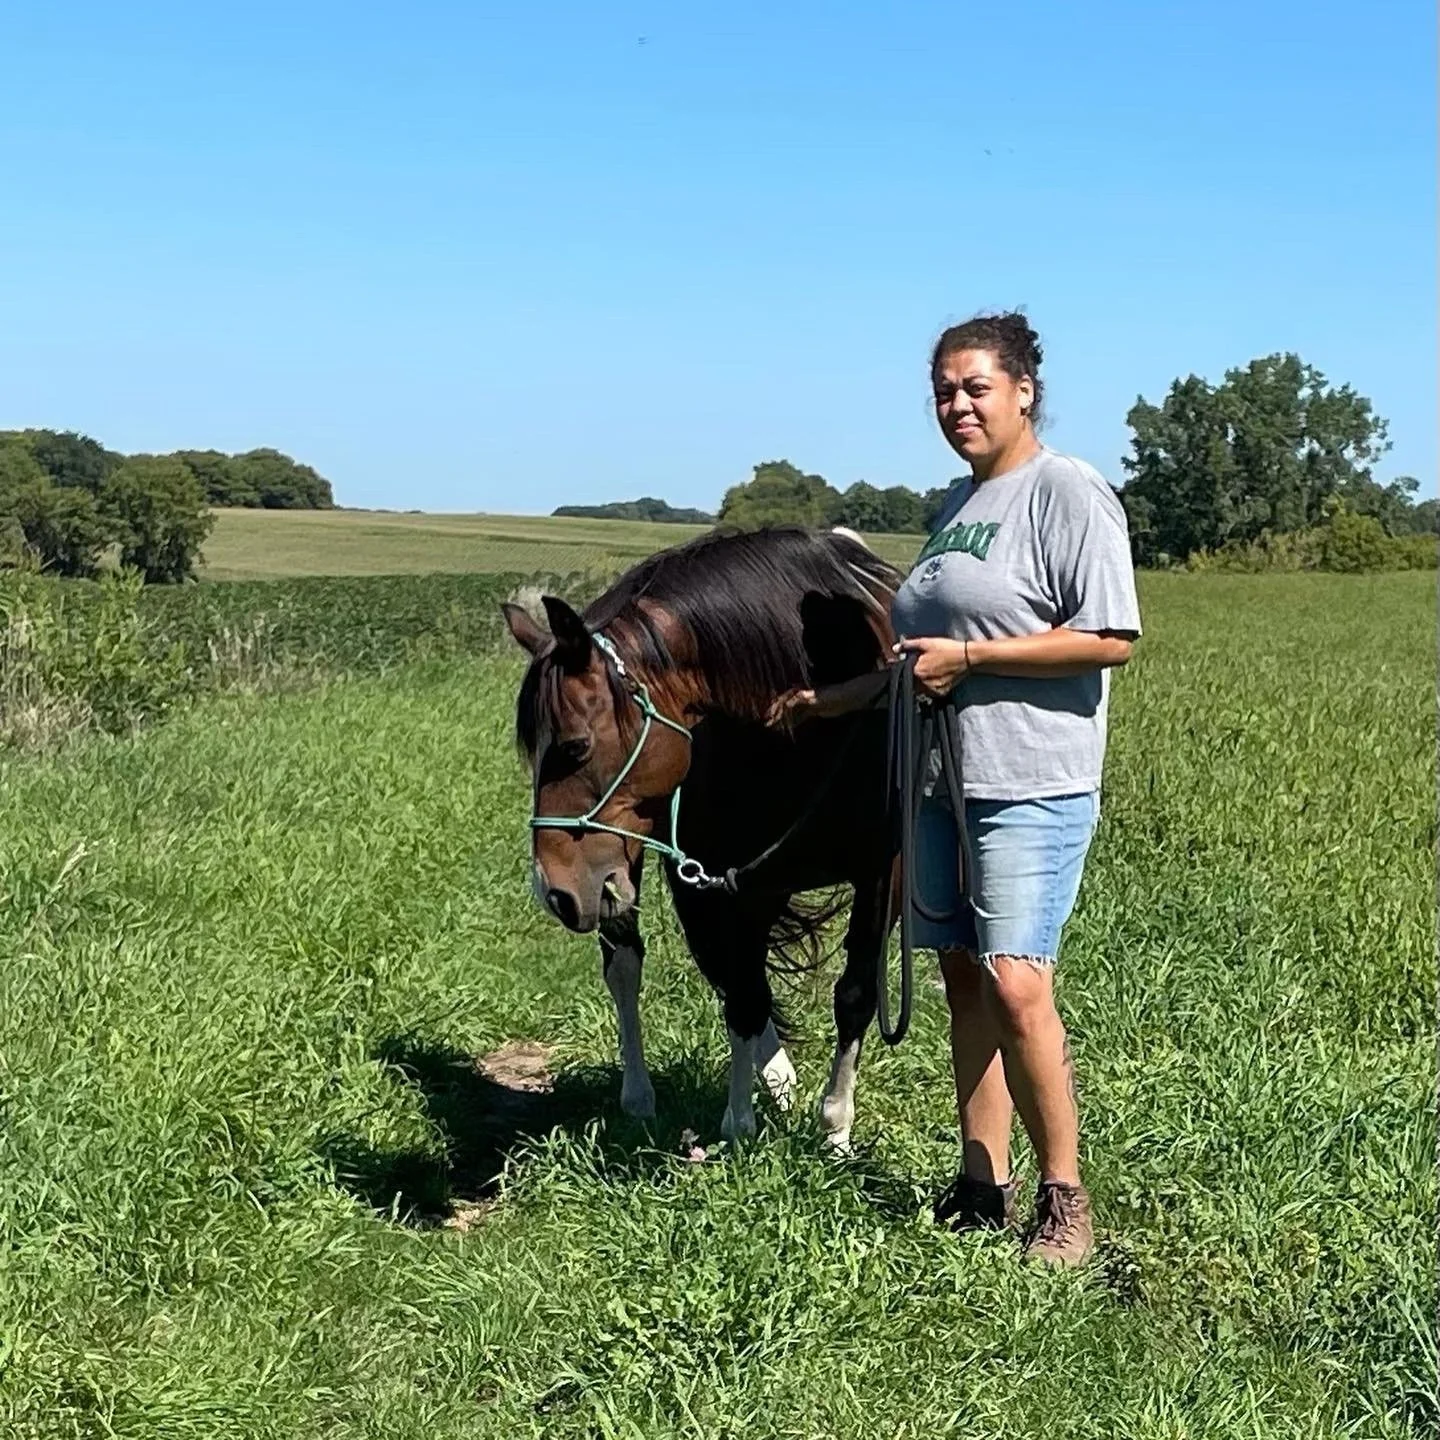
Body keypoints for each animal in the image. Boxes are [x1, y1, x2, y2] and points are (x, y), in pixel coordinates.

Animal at [502, 525, 903, 1148]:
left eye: (574, 746)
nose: (554, 892)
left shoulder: (882, 874)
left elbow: (855, 993)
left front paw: (834, 1130)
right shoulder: (725, 879)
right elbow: (742, 994)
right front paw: (740, 1125)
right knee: (632, 964)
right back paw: (650, 1095)